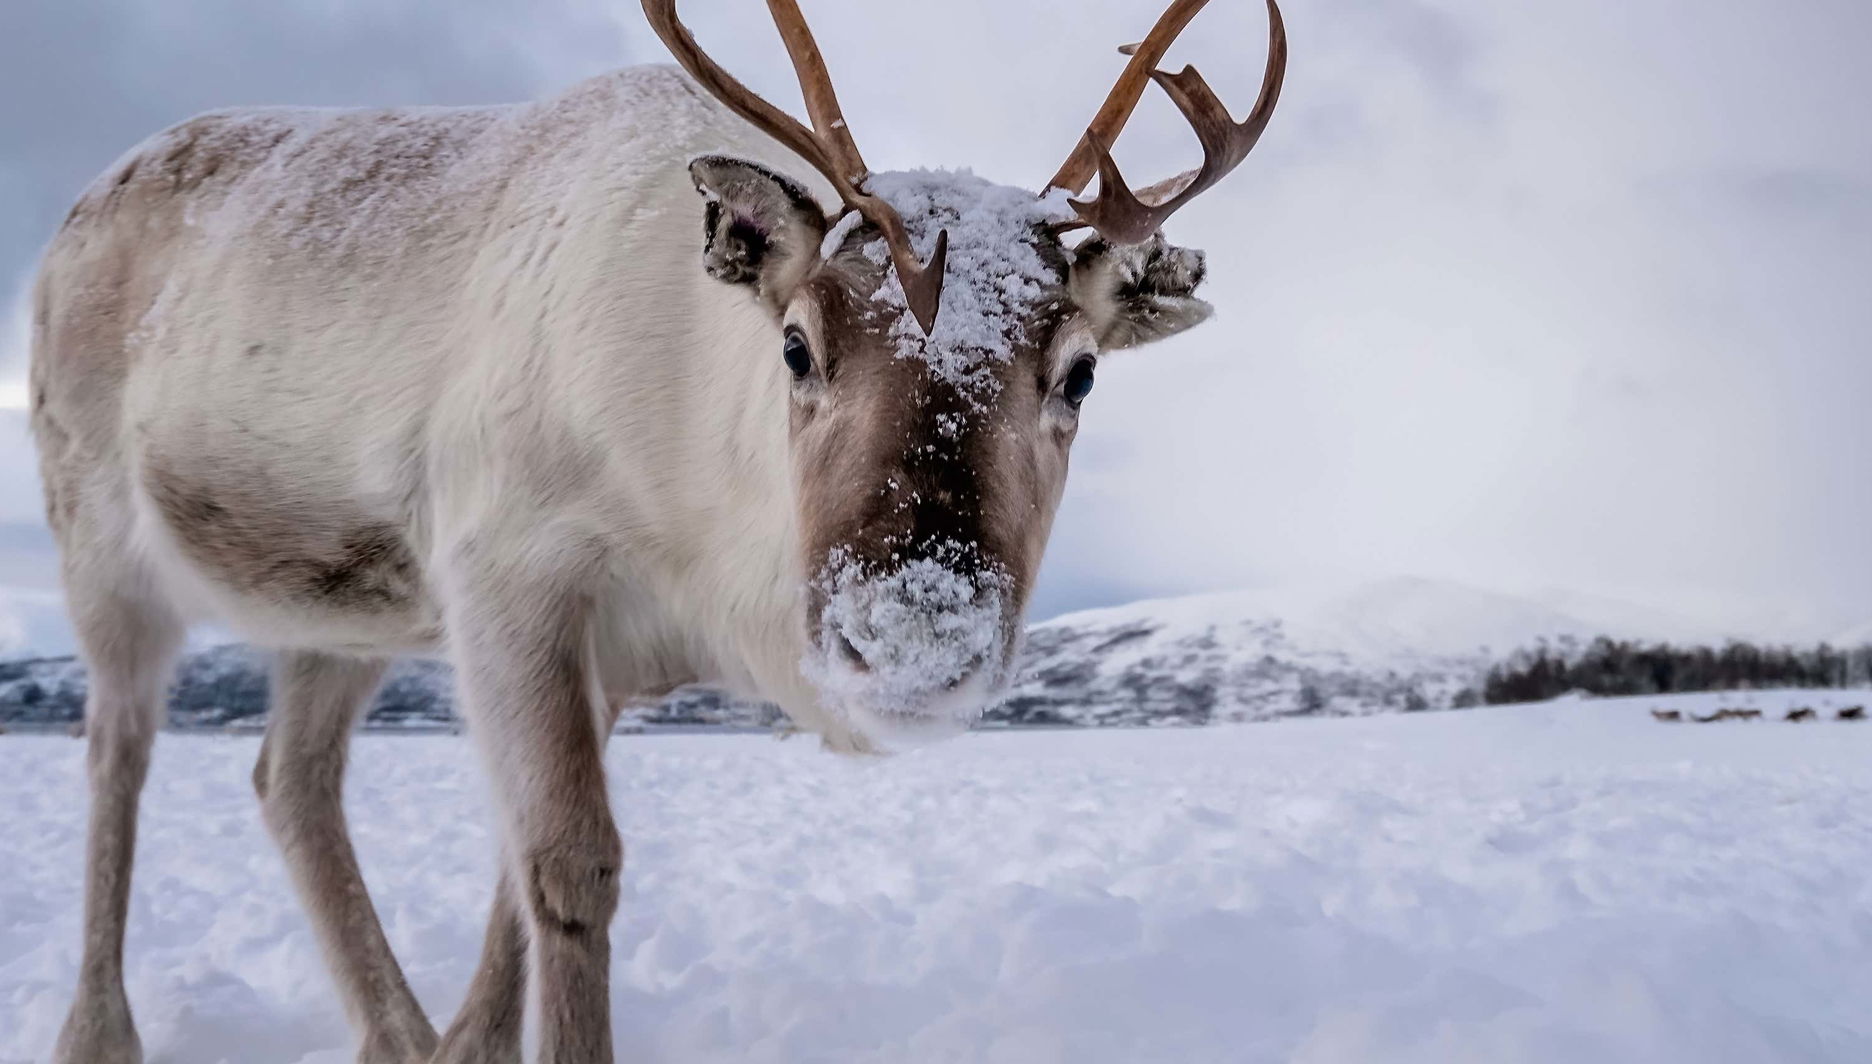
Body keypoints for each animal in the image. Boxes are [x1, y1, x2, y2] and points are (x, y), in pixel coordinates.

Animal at [29, 0, 1286, 1061]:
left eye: (1079, 371)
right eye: (796, 345)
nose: (914, 637)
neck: (698, 537)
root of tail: (83, 201)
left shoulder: (608, 655)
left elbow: (514, 877)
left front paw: (469, 1045)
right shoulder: (505, 575)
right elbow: (569, 871)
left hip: (334, 610)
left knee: (289, 777)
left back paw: (397, 1034)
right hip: (97, 536)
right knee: (117, 750)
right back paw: (98, 1031)